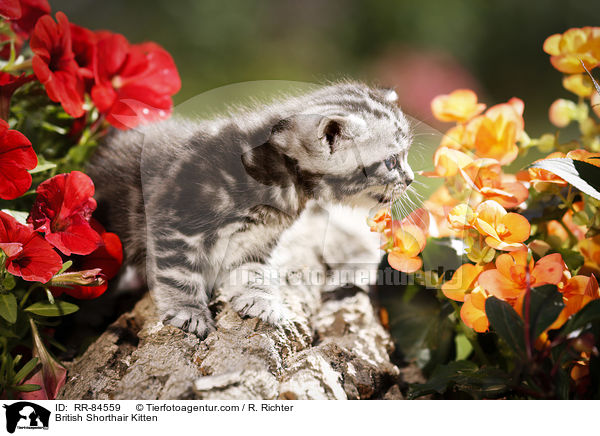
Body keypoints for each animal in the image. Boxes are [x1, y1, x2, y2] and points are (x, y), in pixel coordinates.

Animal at [88, 82, 412, 338]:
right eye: (392, 161)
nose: (410, 179)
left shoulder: (256, 240)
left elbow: (253, 272)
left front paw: (261, 301)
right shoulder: (174, 218)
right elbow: (177, 272)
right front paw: (188, 311)